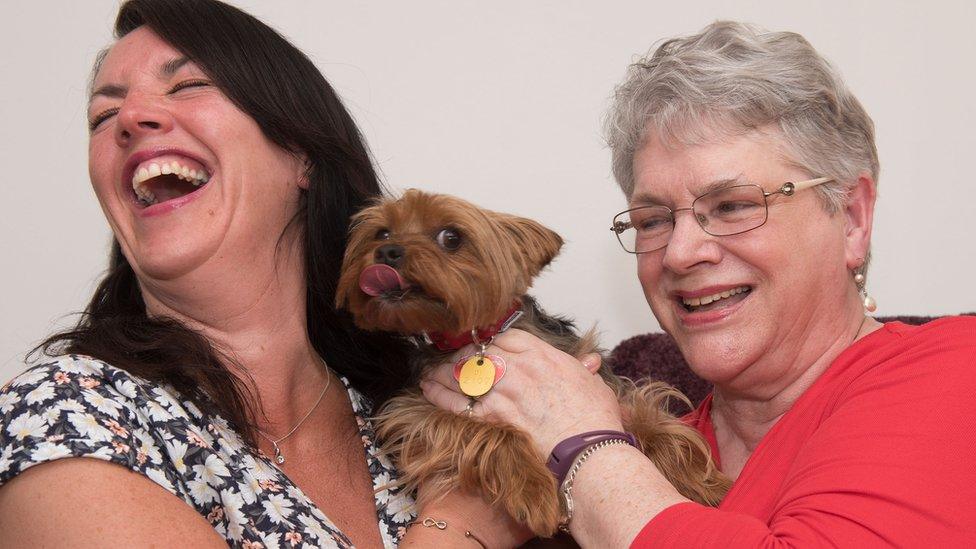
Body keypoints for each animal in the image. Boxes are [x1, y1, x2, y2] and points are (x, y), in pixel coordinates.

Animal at [336, 188, 724, 536]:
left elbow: (653, 423)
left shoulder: (602, 383)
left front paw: (708, 485)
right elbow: (487, 429)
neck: (481, 337)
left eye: (451, 237)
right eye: (382, 232)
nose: (387, 251)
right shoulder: (414, 409)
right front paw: (534, 491)